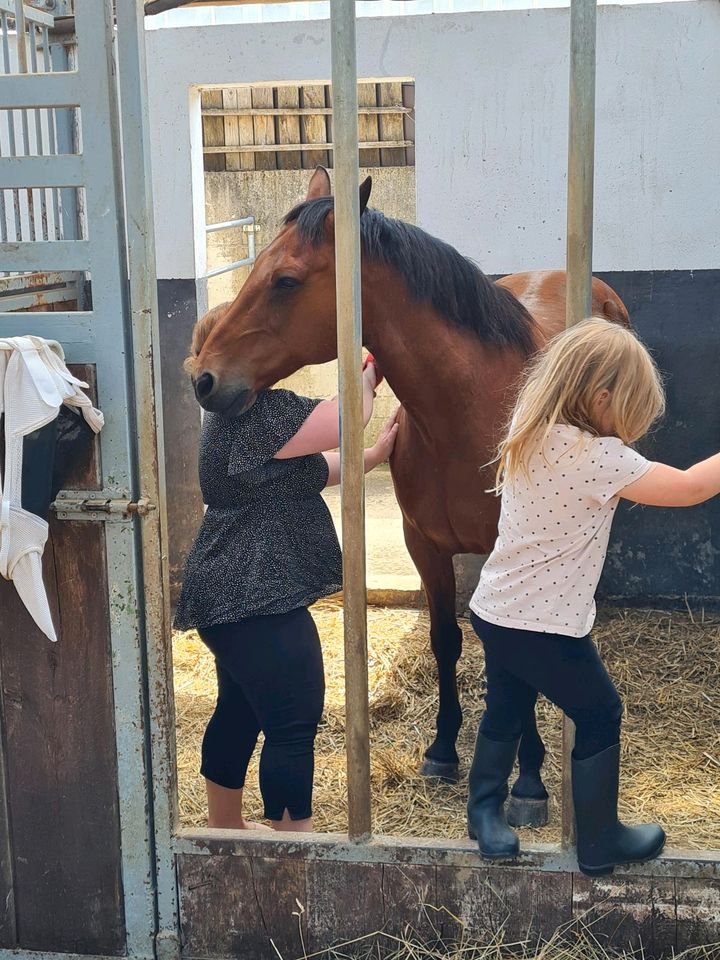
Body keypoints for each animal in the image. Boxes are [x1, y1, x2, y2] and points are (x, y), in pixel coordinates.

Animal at [191, 167, 632, 824]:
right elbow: (446, 642)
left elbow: (514, 657)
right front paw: (445, 749)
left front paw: (528, 781)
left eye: (286, 280)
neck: (472, 417)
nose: (204, 378)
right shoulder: (423, 544)